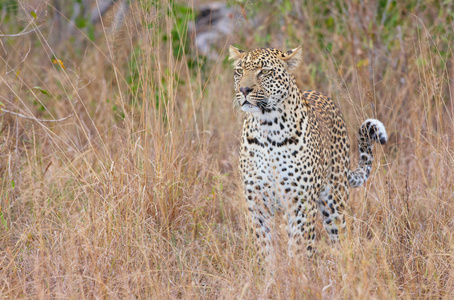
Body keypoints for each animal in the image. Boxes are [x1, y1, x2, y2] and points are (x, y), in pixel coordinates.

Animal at [229, 45, 388, 260]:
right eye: (240, 71)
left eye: (265, 71)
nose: (244, 90)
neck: (267, 127)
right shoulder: (257, 204)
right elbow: (264, 248)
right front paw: (268, 269)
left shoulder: (300, 203)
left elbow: (299, 248)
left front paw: (297, 269)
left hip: (335, 202)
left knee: (341, 238)